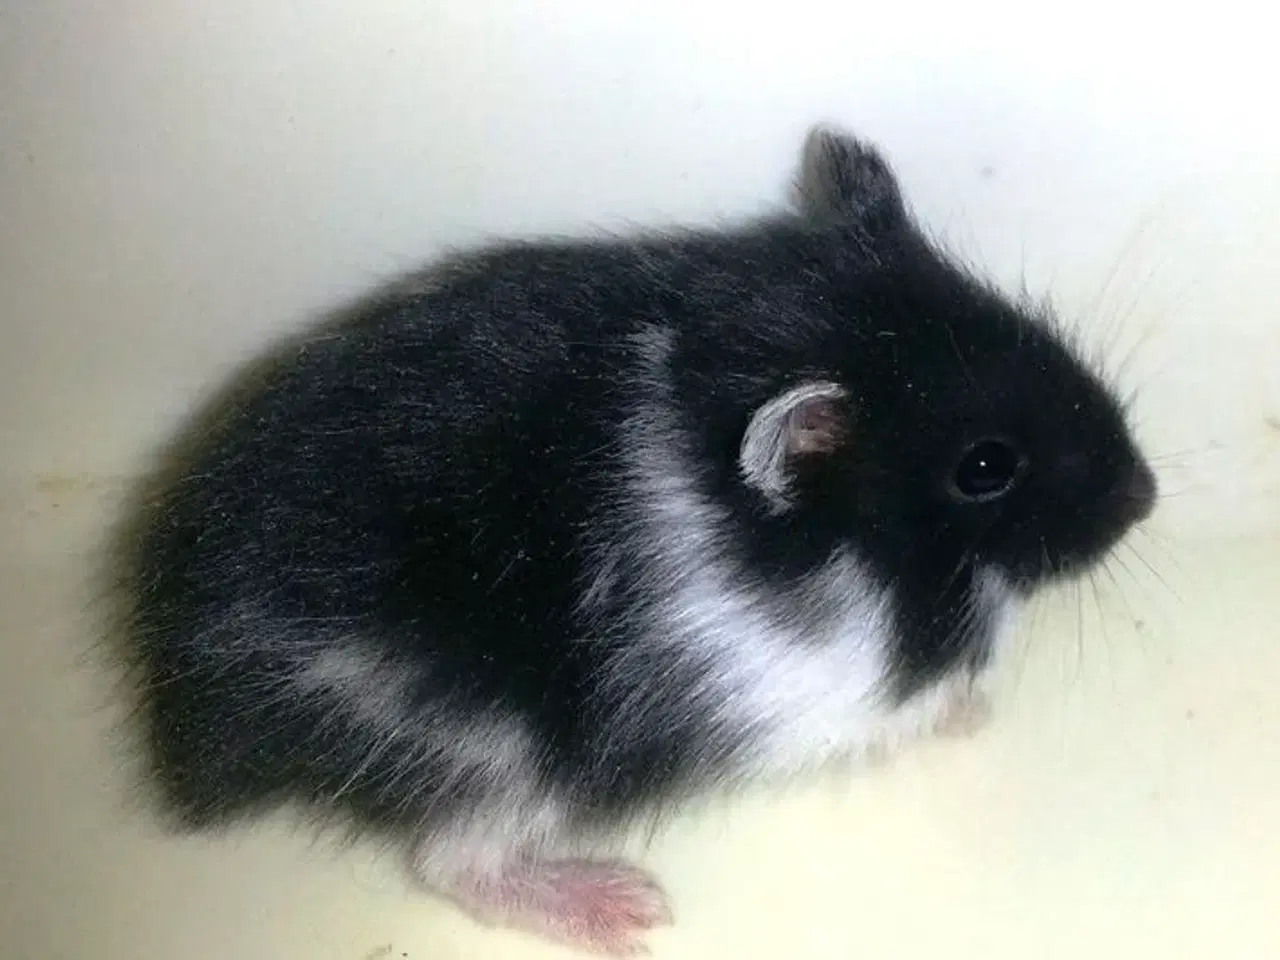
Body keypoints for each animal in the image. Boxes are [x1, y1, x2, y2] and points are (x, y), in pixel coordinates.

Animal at [118, 126, 1156, 955]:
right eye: (985, 467)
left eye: (1018, 322)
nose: (1145, 497)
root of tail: (184, 712)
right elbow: (906, 711)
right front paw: (972, 708)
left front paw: (975, 705)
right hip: (501, 761)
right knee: (452, 861)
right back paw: (629, 910)